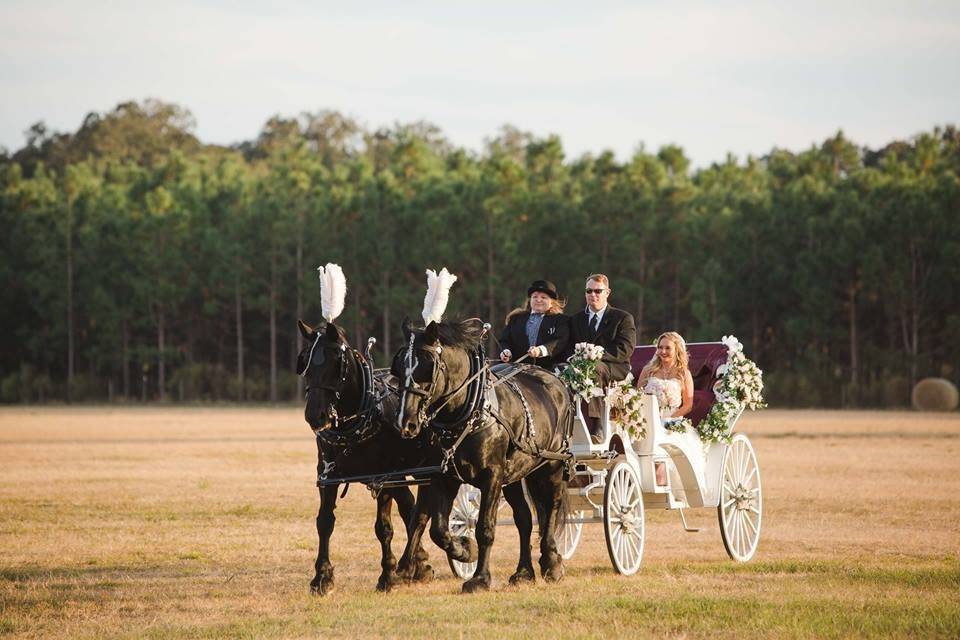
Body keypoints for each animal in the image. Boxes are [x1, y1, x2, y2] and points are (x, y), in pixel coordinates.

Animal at [296, 320, 438, 596]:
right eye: (305, 360)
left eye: (336, 361)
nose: (315, 415)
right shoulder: (327, 476)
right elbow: (324, 522)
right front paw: (322, 577)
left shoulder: (382, 478)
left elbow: (383, 528)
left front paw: (387, 575)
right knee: (410, 507)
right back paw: (420, 564)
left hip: (423, 470)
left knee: (420, 512)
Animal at [392, 318, 572, 592]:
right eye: (400, 368)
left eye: (427, 367)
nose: (406, 422)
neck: (470, 411)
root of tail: (555, 381)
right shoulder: (444, 477)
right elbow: (437, 529)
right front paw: (465, 550)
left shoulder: (492, 476)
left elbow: (485, 528)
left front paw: (480, 578)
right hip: (515, 475)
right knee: (524, 519)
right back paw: (523, 572)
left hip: (551, 465)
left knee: (551, 507)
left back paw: (552, 563)